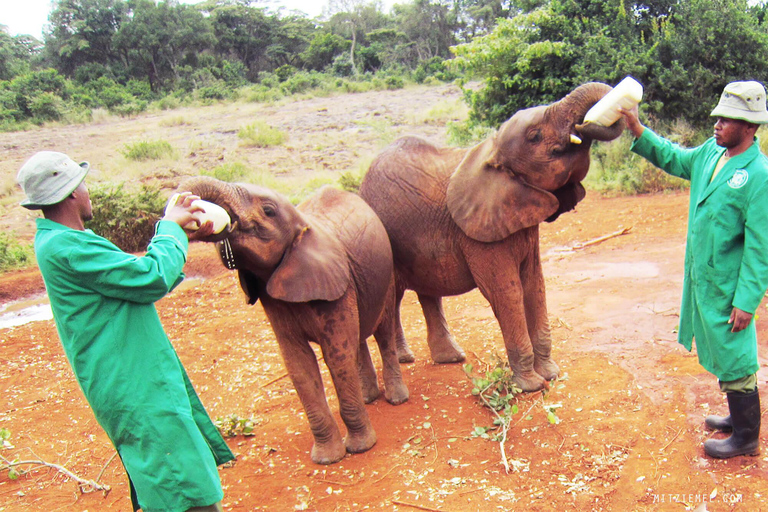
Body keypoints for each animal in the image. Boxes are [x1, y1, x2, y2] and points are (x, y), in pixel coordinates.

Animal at [182, 178, 408, 466]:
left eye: (268, 211)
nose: (200, 215)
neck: (303, 226)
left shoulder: (337, 283)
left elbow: (336, 355)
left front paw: (360, 449)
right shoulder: (272, 297)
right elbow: (298, 362)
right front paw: (326, 459)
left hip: (385, 273)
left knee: (383, 329)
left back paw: (396, 399)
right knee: (358, 338)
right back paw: (368, 398)